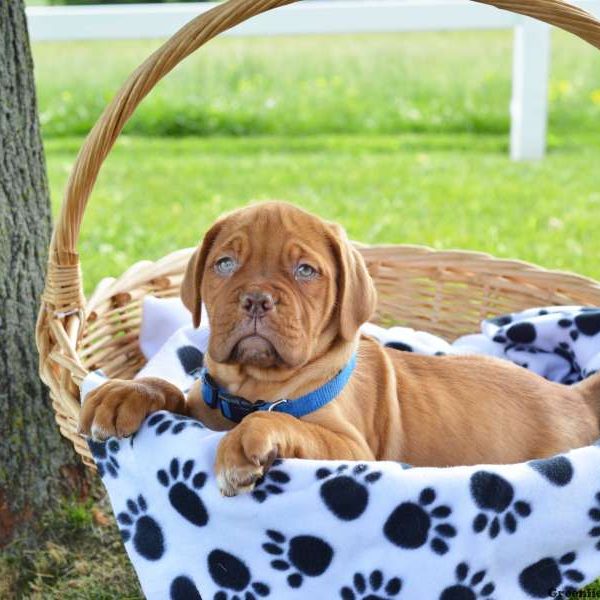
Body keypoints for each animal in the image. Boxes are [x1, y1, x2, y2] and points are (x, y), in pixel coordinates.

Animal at [79, 204, 600, 494]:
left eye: (305, 271)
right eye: (224, 264)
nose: (256, 299)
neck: (252, 388)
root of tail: (573, 395)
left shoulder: (353, 451)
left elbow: (283, 423)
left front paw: (245, 442)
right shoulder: (200, 406)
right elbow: (166, 386)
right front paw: (122, 394)